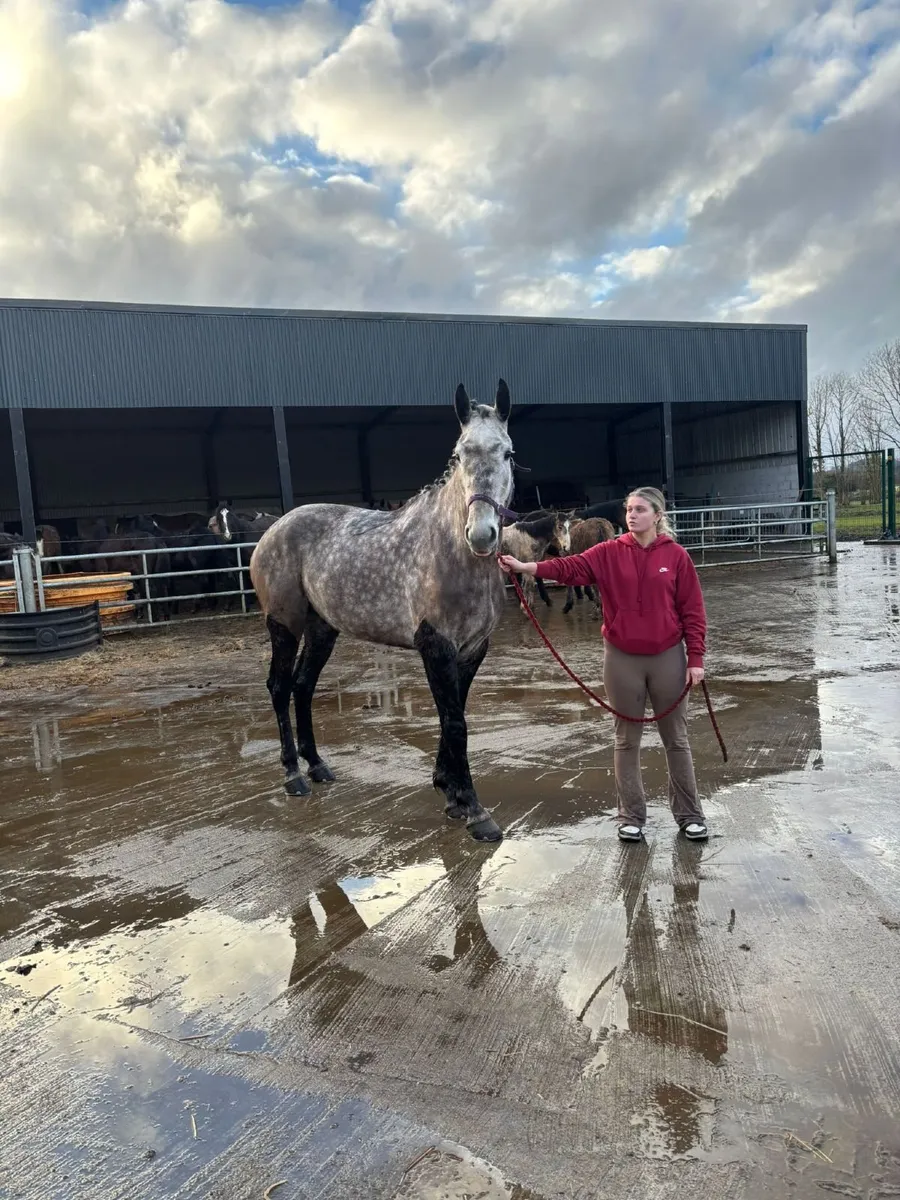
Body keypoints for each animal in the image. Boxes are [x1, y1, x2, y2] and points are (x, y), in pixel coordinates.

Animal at [250, 379, 516, 843]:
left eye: (508, 453)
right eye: (458, 455)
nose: (481, 534)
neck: (451, 552)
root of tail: (273, 529)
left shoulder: (472, 649)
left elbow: (454, 716)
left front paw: (449, 793)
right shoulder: (436, 646)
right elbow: (455, 724)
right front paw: (474, 810)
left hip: (323, 629)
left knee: (303, 687)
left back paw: (317, 766)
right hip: (284, 624)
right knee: (280, 688)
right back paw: (293, 777)